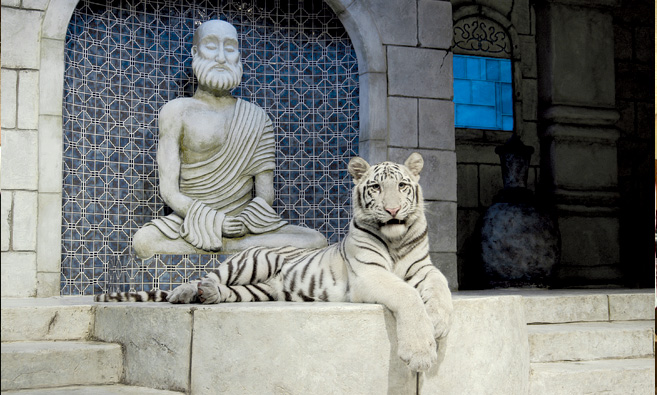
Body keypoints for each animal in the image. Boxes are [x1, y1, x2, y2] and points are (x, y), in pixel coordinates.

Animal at [96, 153, 452, 372]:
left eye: (402, 185)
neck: (395, 240)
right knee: (206, 275)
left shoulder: (423, 268)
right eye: (376, 187)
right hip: (250, 261)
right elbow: (407, 295)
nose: (393, 210)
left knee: (226, 290)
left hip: (259, 290)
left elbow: (441, 285)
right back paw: (185, 293)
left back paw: (208, 295)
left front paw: (439, 321)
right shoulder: (369, 274)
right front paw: (421, 352)